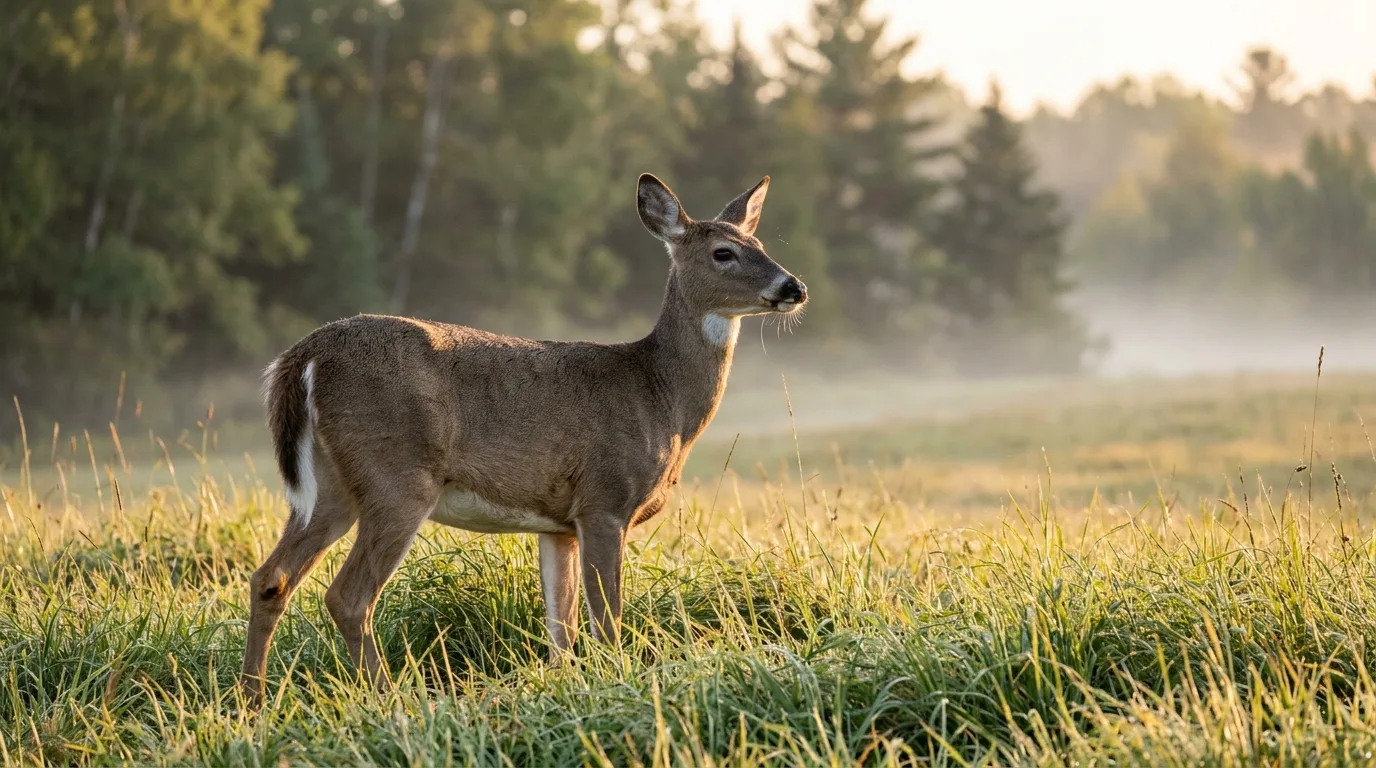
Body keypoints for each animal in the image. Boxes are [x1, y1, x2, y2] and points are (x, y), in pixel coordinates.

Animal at [238, 173, 808, 709]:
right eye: (724, 252)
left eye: (761, 243)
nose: (794, 287)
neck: (659, 395)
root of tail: (304, 355)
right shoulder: (605, 500)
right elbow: (607, 623)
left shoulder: (559, 524)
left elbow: (562, 631)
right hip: (397, 475)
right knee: (348, 597)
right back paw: (392, 698)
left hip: (330, 485)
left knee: (271, 578)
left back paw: (251, 703)